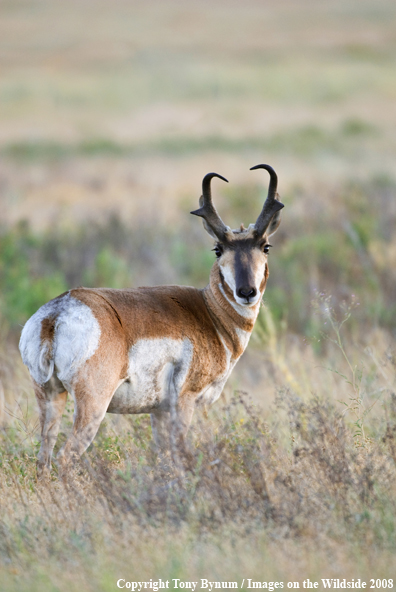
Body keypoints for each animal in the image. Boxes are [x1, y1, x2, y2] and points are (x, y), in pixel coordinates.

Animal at [20, 163, 284, 476]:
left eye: (265, 246)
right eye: (218, 249)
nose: (246, 292)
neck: (209, 312)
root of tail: (58, 312)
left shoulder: (158, 412)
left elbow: (162, 458)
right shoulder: (184, 402)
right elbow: (180, 455)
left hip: (49, 397)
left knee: (43, 459)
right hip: (93, 406)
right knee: (64, 458)